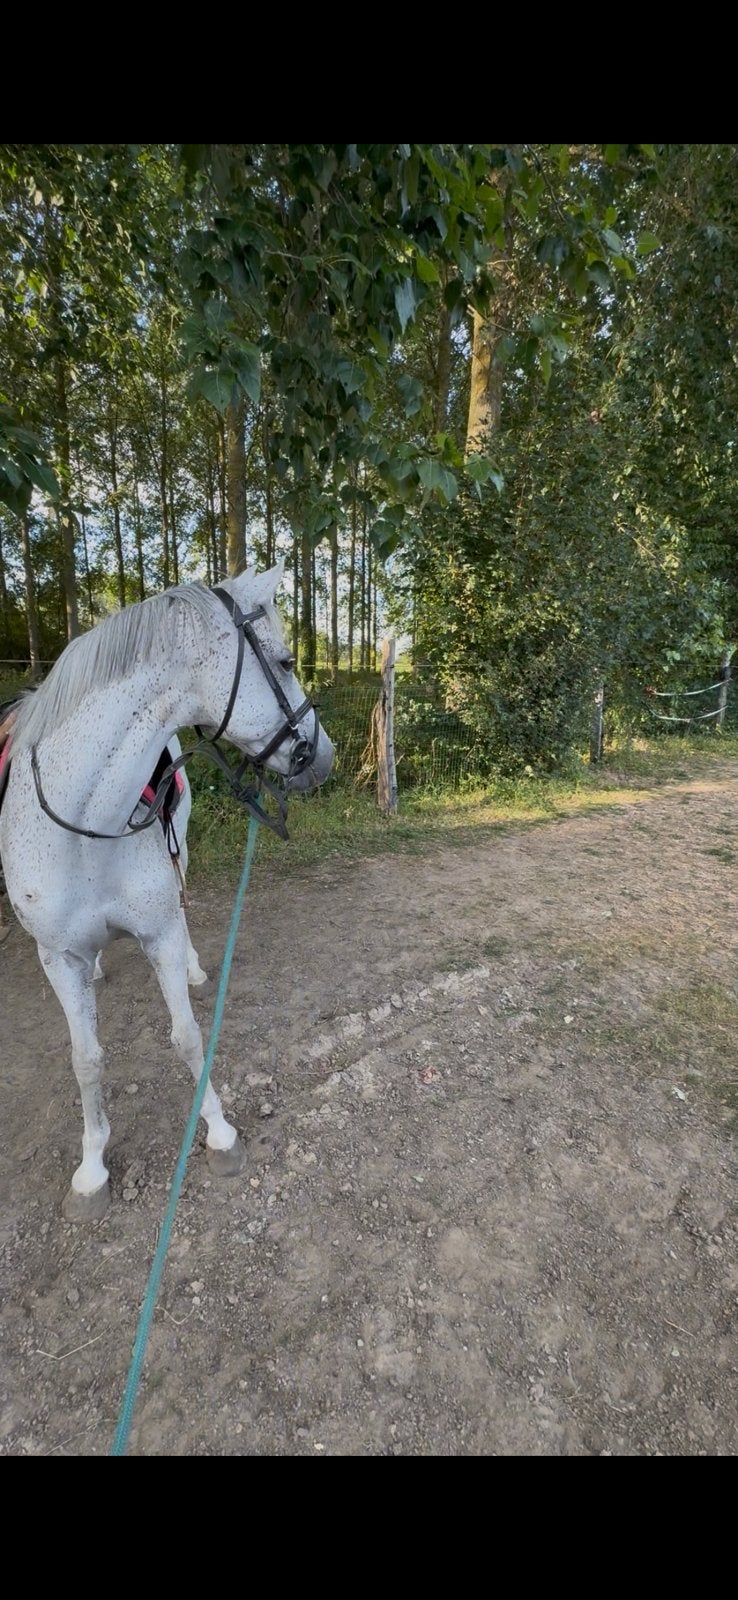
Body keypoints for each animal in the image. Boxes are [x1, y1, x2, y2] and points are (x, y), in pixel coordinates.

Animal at [0, 563, 334, 1221]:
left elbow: (186, 1037)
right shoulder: (57, 958)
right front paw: (92, 1169)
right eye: (285, 661)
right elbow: (86, 1061)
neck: (84, 825)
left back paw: (197, 965)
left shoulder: (157, 934)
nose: (324, 755)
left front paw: (221, 1133)